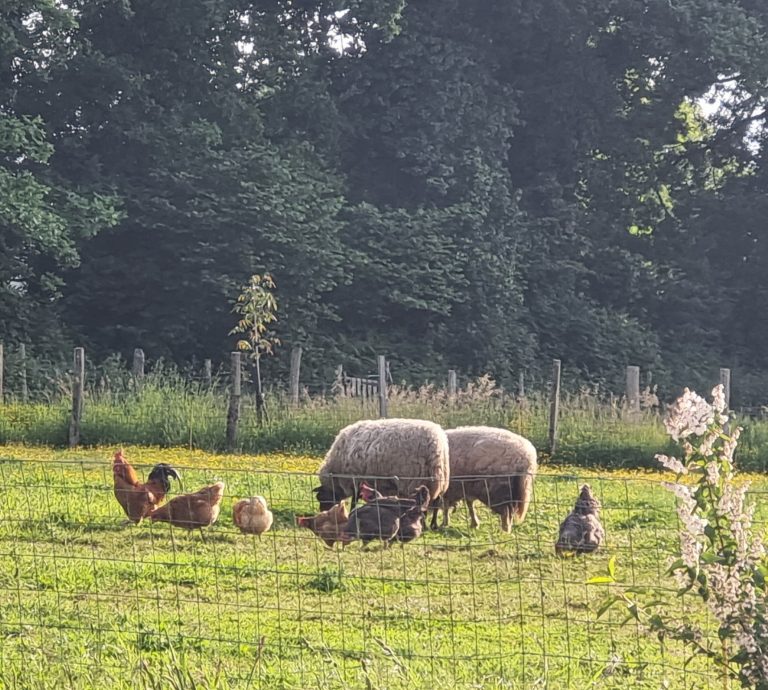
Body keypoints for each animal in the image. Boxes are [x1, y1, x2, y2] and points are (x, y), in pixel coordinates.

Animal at [313, 418, 450, 512]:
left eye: (321, 498)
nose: (323, 512)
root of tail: (437, 443)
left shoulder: (355, 479)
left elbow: (354, 500)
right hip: (437, 480)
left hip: (413, 480)